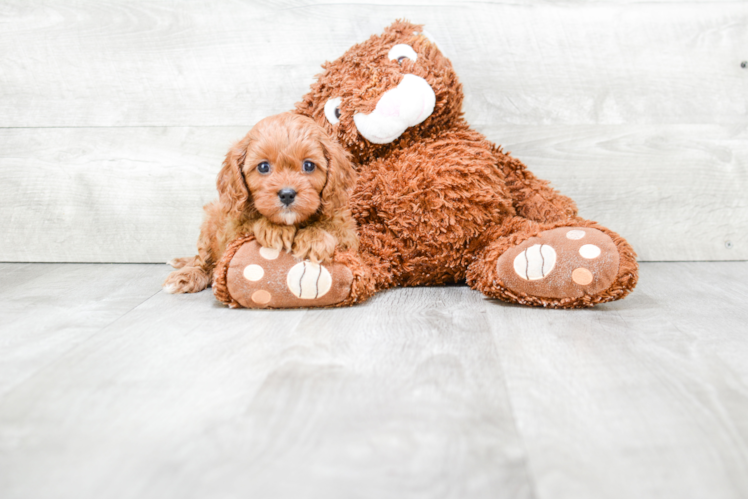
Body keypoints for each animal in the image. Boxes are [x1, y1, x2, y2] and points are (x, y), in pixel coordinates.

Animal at [163, 112, 360, 294]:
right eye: (263, 167)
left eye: (309, 165)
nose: (287, 194)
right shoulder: (233, 229)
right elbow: (250, 223)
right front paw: (275, 228)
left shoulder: (347, 230)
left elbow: (334, 227)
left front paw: (314, 238)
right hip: (211, 219)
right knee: (204, 261)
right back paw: (187, 275)